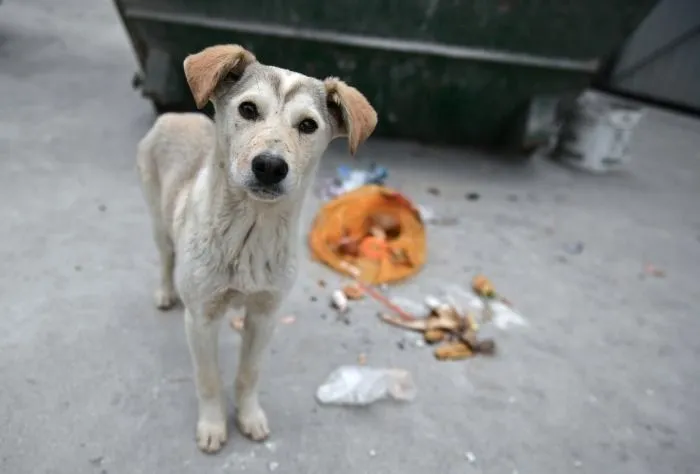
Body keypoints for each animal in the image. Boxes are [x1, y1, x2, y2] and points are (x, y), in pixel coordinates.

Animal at [137, 45, 378, 456]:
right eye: (248, 109)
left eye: (308, 125)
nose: (269, 166)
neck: (249, 232)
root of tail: (175, 114)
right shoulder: (201, 319)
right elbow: (208, 378)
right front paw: (213, 425)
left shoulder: (265, 315)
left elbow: (248, 374)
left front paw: (249, 417)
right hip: (157, 220)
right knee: (166, 258)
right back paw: (167, 292)